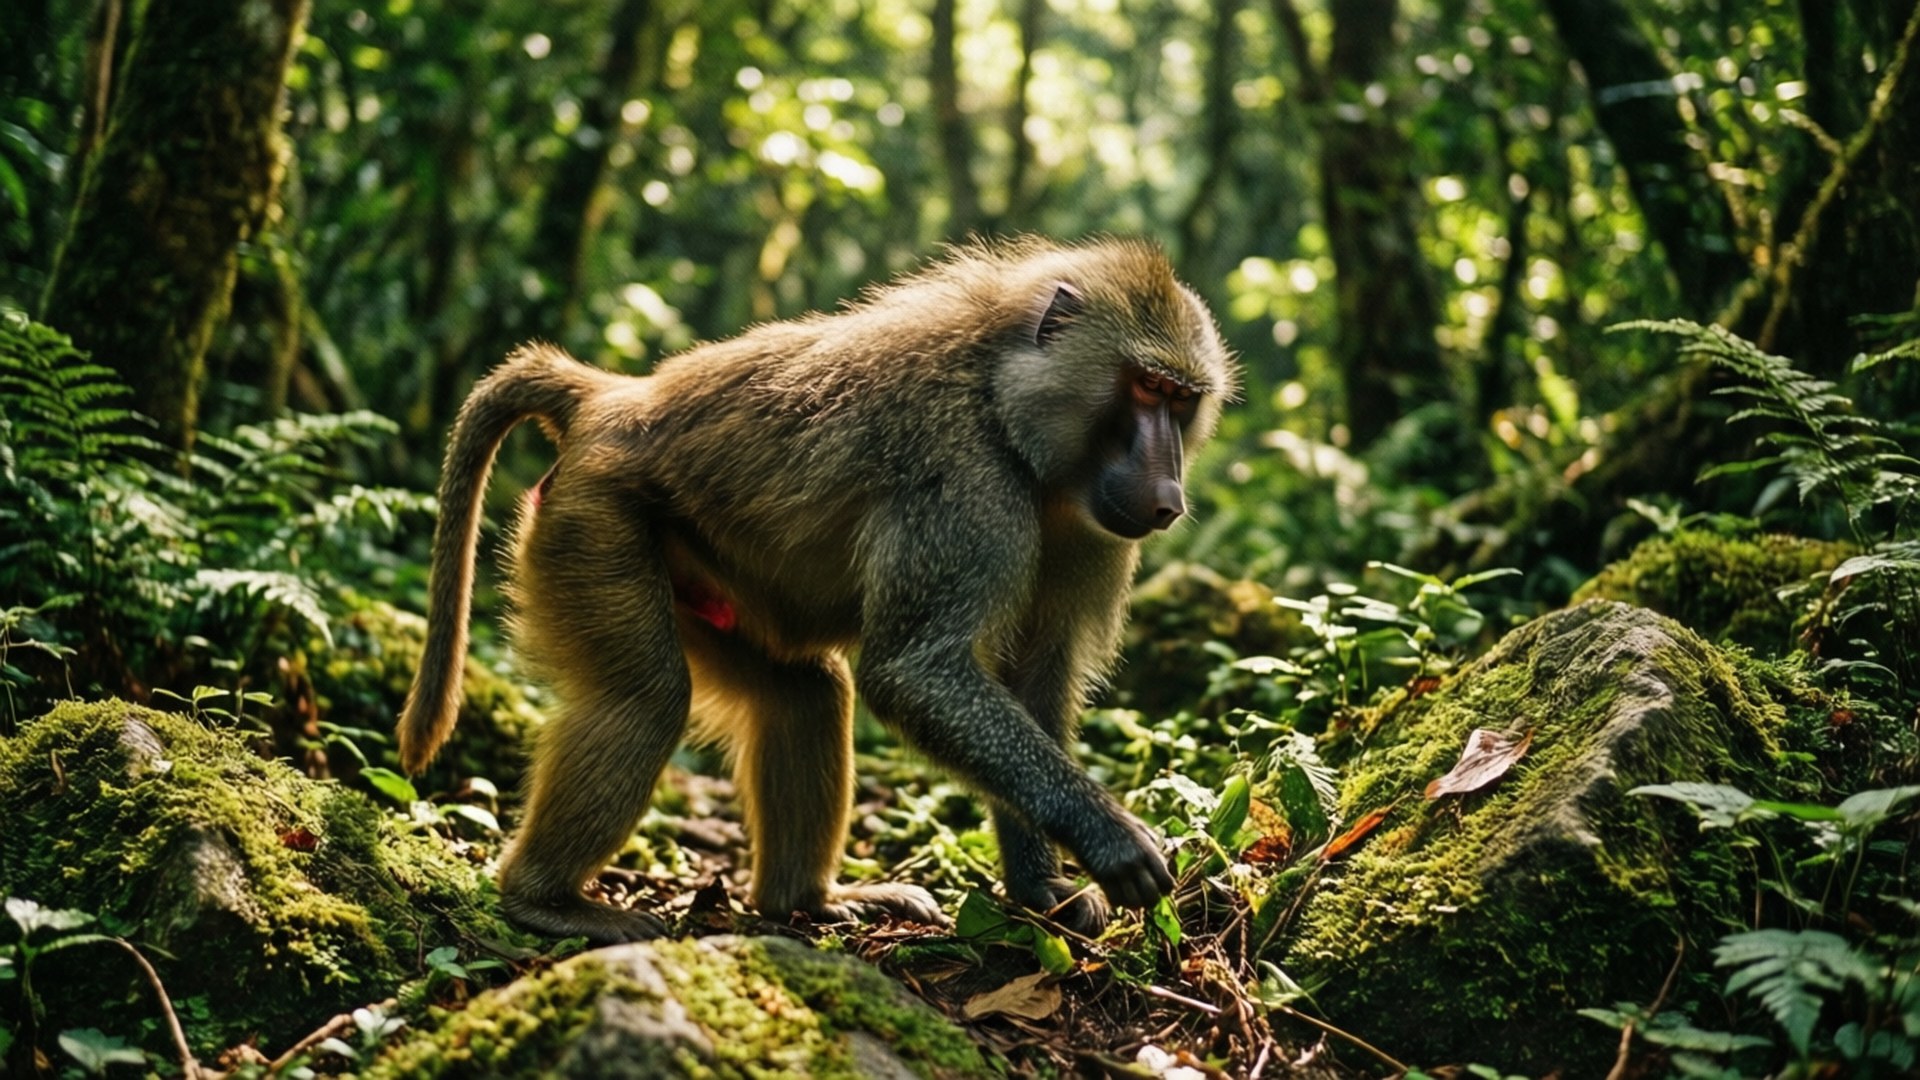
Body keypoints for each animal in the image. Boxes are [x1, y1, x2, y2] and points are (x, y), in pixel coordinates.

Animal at [398, 237, 1235, 943]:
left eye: (1182, 400)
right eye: (1145, 388)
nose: (1168, 498)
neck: (1005, 406)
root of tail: (615, 400)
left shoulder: (1091, 530)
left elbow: (1036, 679)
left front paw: (1042, 889)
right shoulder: (963, 483)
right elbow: (915, 673)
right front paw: (1110, 837)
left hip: (697, 573)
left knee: (805, 693)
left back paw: (805, 902)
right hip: (595, 517)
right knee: (647, 699)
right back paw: (544, 900)